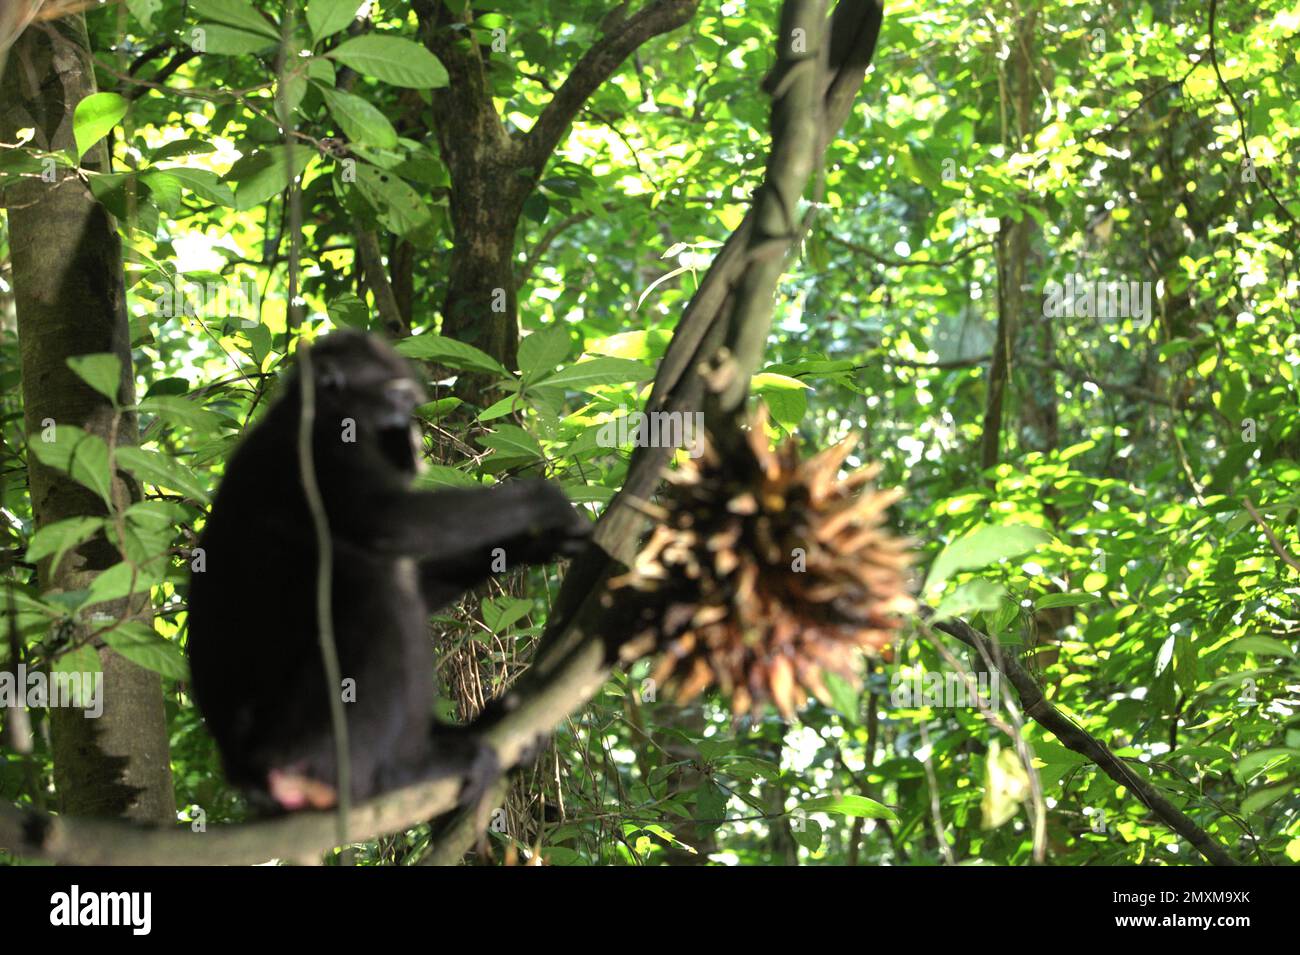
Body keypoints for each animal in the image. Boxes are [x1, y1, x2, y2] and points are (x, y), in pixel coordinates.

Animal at [185, 331, 590, 811]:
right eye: (396, 399)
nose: (412, 437)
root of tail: (245, 772)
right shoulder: (324, 446)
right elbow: (391, 522)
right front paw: (543, 501)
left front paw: (531, 544)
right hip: (302, 737)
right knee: (376, 584)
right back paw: (399, 772)